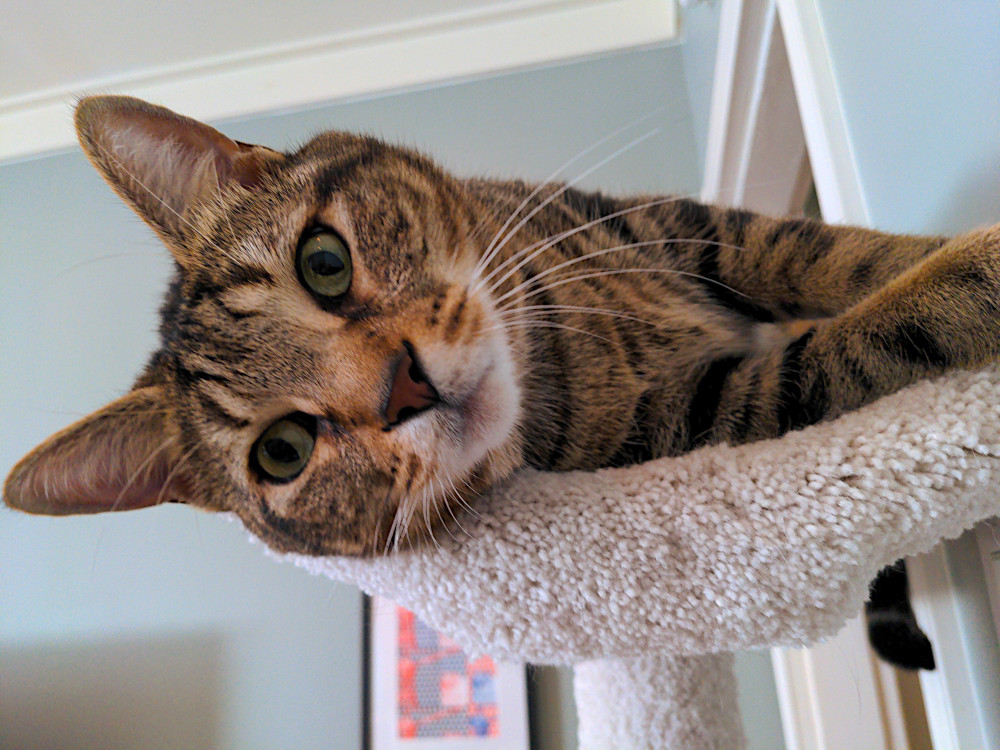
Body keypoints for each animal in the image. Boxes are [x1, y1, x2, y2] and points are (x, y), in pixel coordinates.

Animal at [3, 95, 996, 668]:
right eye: (282, 451)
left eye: (323, 262)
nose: (400, 388)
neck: (561, 337)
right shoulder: (695, 419)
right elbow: (841, 348)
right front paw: (966, 278)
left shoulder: (685, 224)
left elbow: (823, 252)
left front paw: (936, 251)